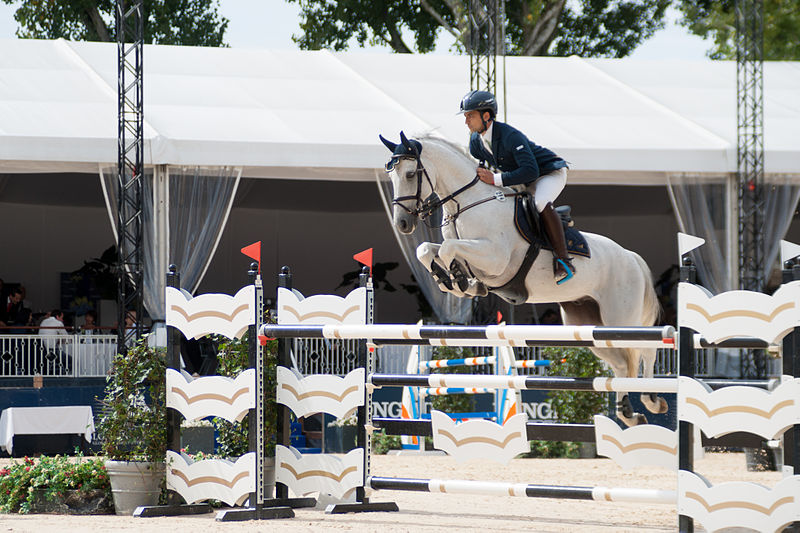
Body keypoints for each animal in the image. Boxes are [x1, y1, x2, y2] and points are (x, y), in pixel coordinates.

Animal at [382, 131, 664, 426]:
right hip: (586, 322)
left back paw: (651, 400)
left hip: (621, 317)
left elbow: (448, 249)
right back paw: (630, 414)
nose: (402, 224)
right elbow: (426, 249)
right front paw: (454, 280)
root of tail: (631, 257)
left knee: (647, 348)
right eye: (391, 177)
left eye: (411, 174)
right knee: (621, 363)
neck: (468, 203)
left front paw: (458, 279)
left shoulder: (494, 257)